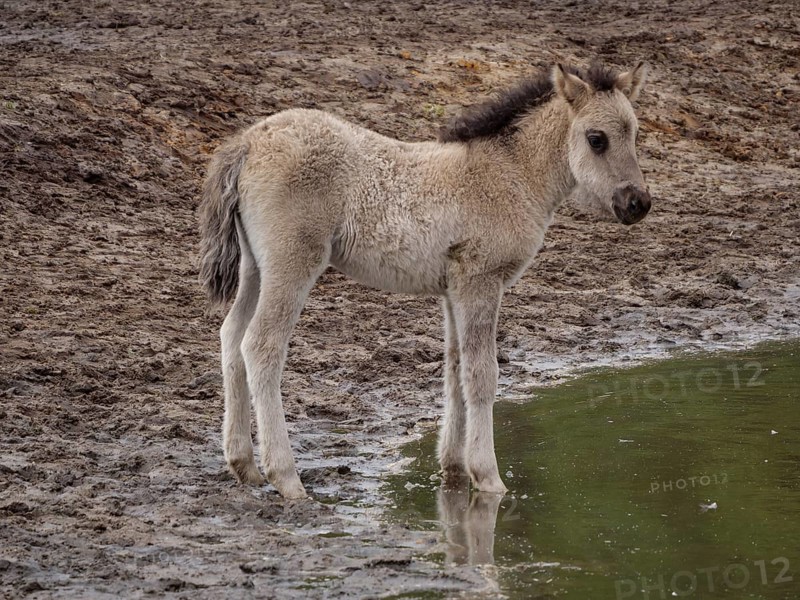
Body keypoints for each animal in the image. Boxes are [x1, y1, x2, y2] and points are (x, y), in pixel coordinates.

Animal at [199, 61, 650, 499]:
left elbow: (454, 369)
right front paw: (489, 476)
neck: (508, 175)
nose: (638, 203)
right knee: (261, 345)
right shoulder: (480, 282)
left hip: (255, 267)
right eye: (596, 139)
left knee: (231, 336)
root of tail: (248, 142)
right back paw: (287, 478)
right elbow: (482, 375)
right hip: (291, 263)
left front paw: (453, 467)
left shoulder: (453, 291)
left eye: (634, 133)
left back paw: (243, 465)